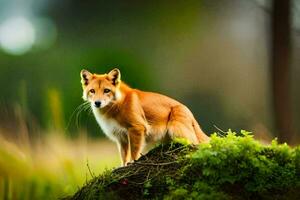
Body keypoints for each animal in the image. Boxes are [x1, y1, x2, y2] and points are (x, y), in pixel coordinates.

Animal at [81, 69, 210, 166]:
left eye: (106, 90)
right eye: (92, 91)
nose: (97, 103)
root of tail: (190, 112)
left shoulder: (137, 128)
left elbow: (134, 153)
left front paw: (133, 163)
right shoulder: (121, 137)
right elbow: (123, 157)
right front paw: (122, 166)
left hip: (176, 130)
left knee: (197, 145)